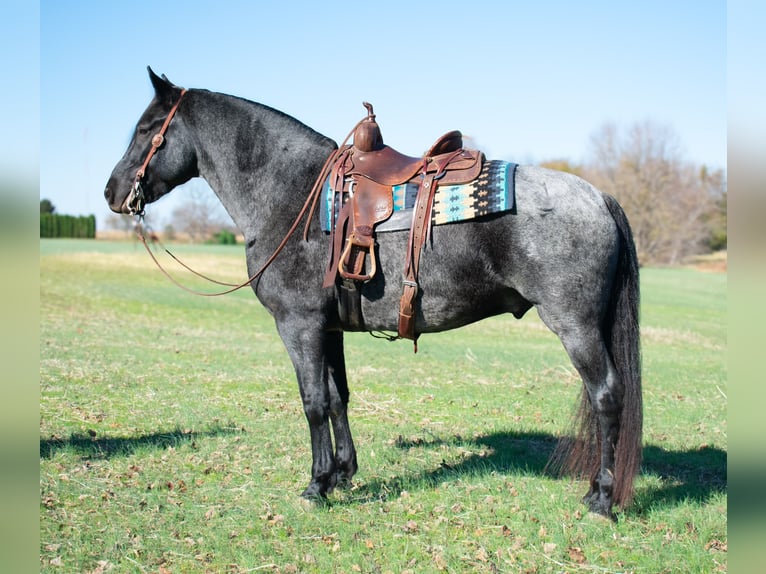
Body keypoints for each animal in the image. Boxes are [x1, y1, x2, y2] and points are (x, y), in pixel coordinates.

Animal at [102, 68, 640, 520]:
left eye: (148, 128)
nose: (111, 192)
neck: (291, 195)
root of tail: (598, 197)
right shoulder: (330, 328)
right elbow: (338, 397)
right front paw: (342, 473)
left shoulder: (299, 326)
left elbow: (312, 401)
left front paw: (316, 484)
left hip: (575, 326)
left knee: (607, 396)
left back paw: (602, 498)